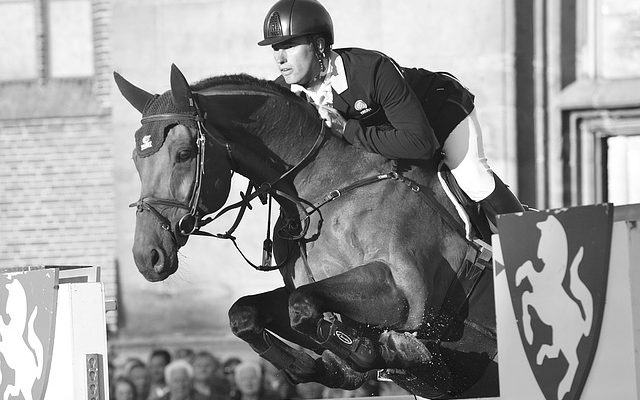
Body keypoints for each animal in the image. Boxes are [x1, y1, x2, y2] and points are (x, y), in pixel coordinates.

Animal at [115, 64, 500, 398]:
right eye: (135, 160)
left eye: (183, 153)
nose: (147, 257)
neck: (326, 187)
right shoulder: (318, 289)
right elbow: (249, 313)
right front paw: (335, 364)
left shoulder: (406, 296)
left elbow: (302, 307)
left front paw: (388, 351)